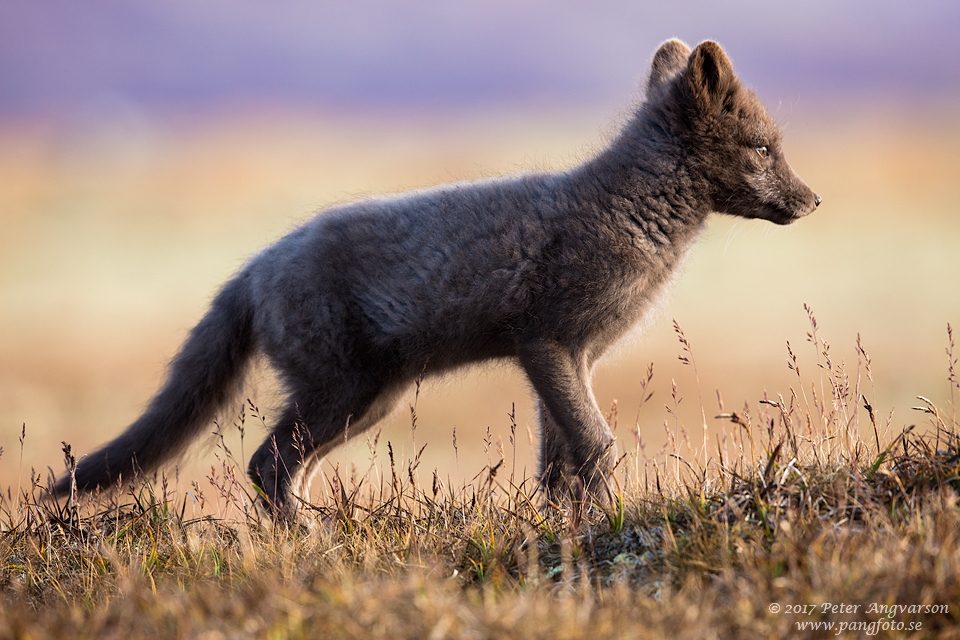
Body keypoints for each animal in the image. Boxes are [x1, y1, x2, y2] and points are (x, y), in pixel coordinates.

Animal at [52, 38, 820, 510]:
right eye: (763, 150)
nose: (813, 202)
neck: (626, 210)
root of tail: (253, 266)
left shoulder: (566, 359)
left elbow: (557, 465)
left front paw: (565, 528)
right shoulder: (549, 345)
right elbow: (597, 448)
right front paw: (608, 518)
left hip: (366, 402)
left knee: (280, 470)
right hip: (340, 394)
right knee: (265, 467)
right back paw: (311, 545)